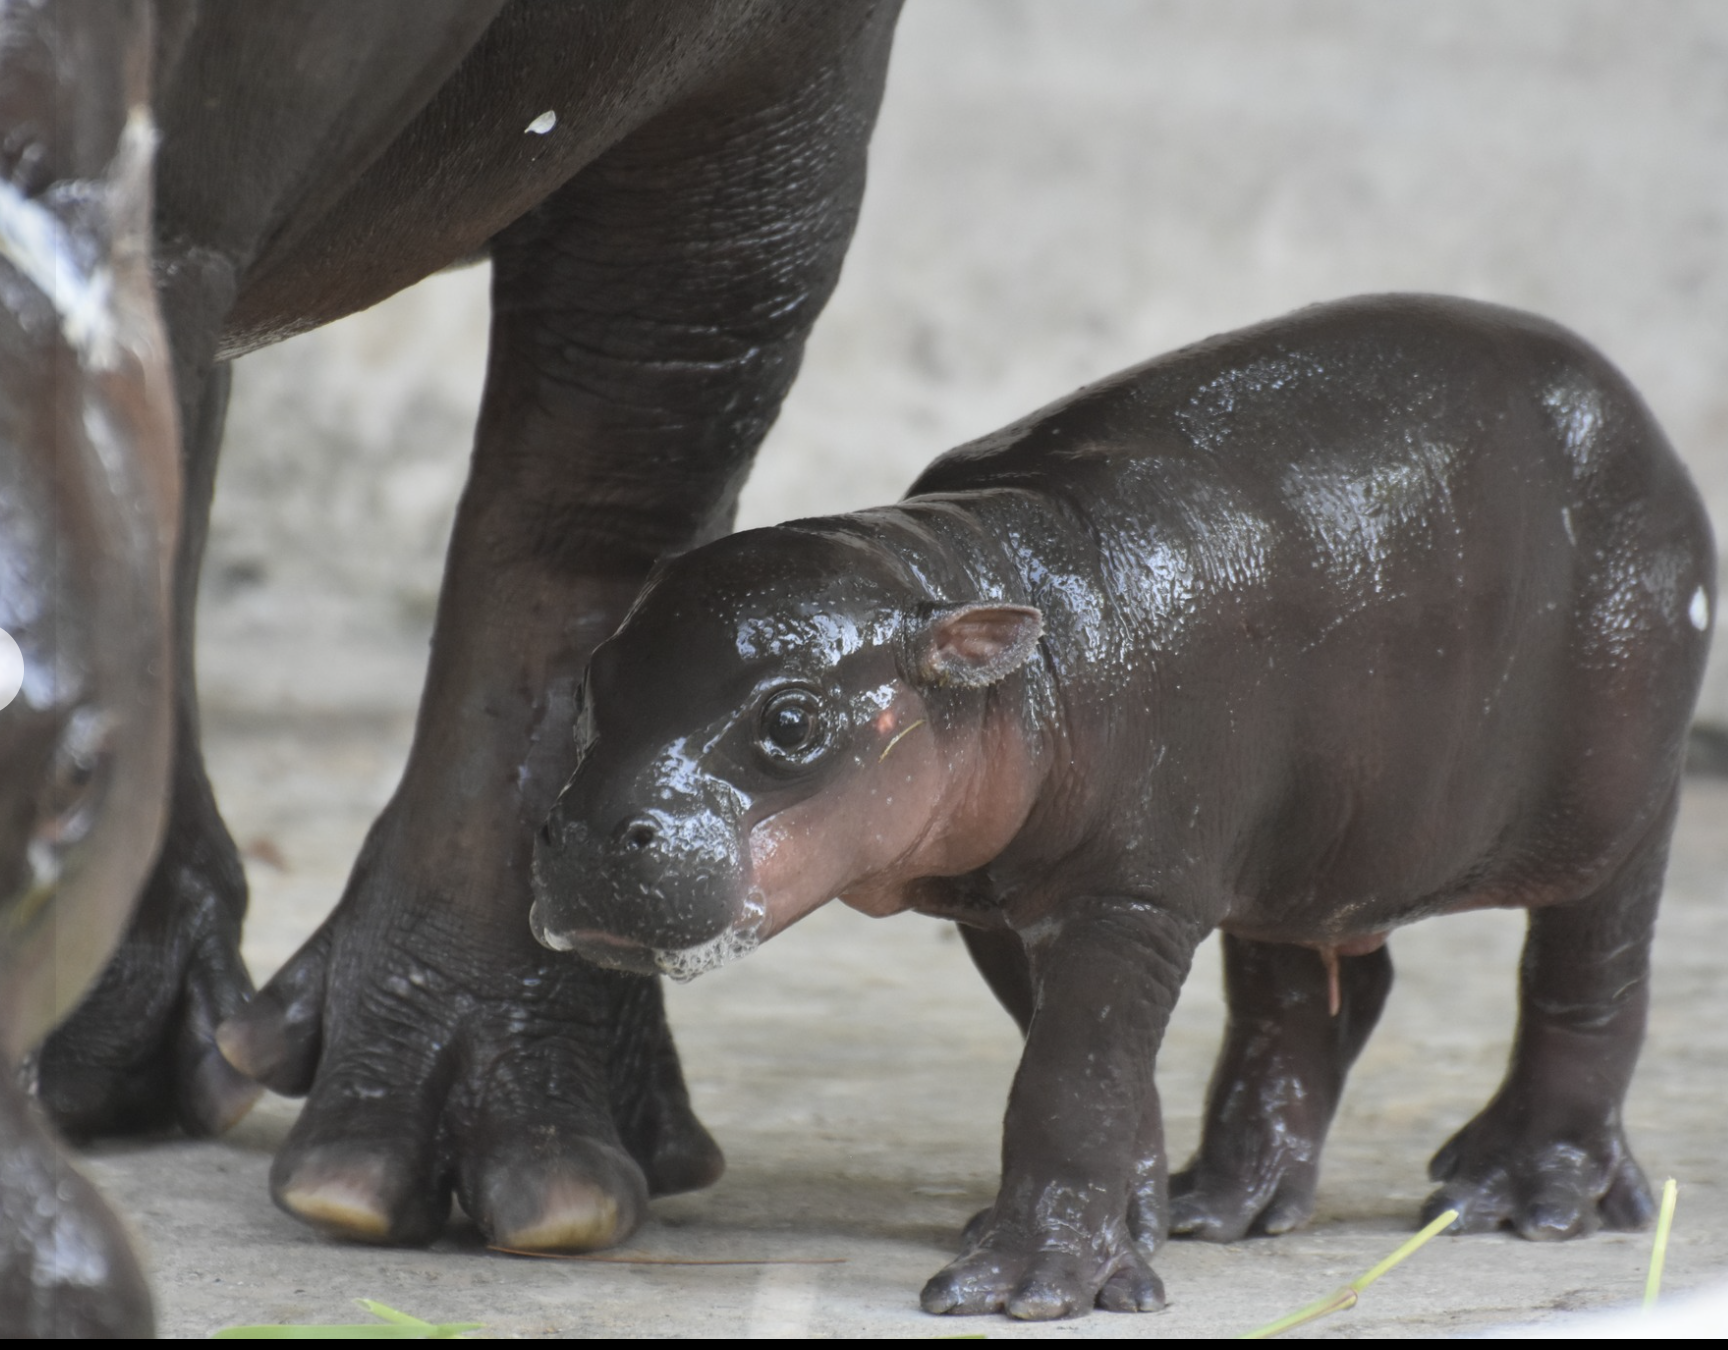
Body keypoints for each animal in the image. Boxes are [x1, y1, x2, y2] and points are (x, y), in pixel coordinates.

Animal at [530, 294, 1715, 1319]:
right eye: (594, 680)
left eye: (790, 720)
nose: (583, 834)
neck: (996, 607)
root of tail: (1643, 424)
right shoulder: (1001, 897)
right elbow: (1094, 1067)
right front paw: (1132, 1232)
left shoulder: (1131, 893)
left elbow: (1072, 1075)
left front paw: (1023, 1288)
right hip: (1302, 847)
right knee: (1303, 1001)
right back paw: (1228, 1207)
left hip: (1617, 799)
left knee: (1589, 972)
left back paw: (1517, 1199)